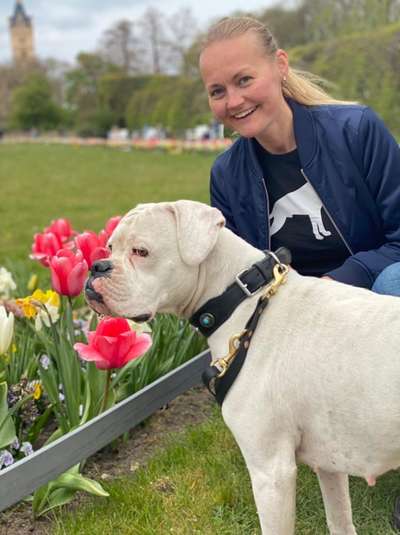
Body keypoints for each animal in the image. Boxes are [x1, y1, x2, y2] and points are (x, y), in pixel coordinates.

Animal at [86, 200, 400, 535]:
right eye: (109, 247)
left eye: (141, 251)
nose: (97, 267)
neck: (242, 301)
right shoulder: (329, 461)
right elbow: (339, 520)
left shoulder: (271, 472)